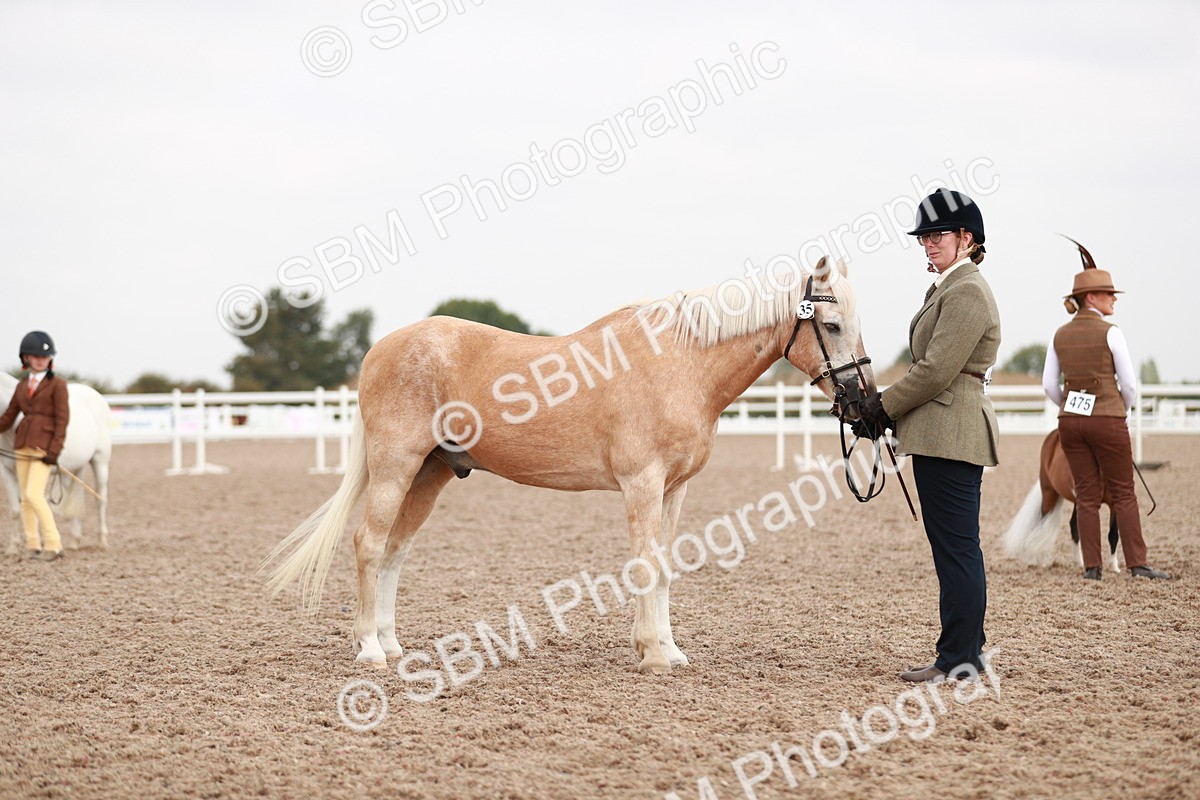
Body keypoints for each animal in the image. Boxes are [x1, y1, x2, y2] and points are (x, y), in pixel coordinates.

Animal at [265, 257, 875, 675]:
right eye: (833, 324)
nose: (862, 403)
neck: (682, 363)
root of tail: (380, 351)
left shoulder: (674, 488)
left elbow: (666, 565)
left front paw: (669, 650)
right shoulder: (642, 484)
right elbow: (645, 564)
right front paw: (652, 653)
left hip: (429, 475)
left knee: (394, 550)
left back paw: (391, 644)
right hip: (397, 466)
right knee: (368, 544)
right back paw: (370, 650)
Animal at [1002, 429, 1120, 572]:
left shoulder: (1114, 504)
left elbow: (1113, 535)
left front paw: (1114, 567)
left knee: (1074, 526)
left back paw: (1079, 562)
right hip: (1049, 494)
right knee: (1042, 525)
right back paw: (1041, 562)